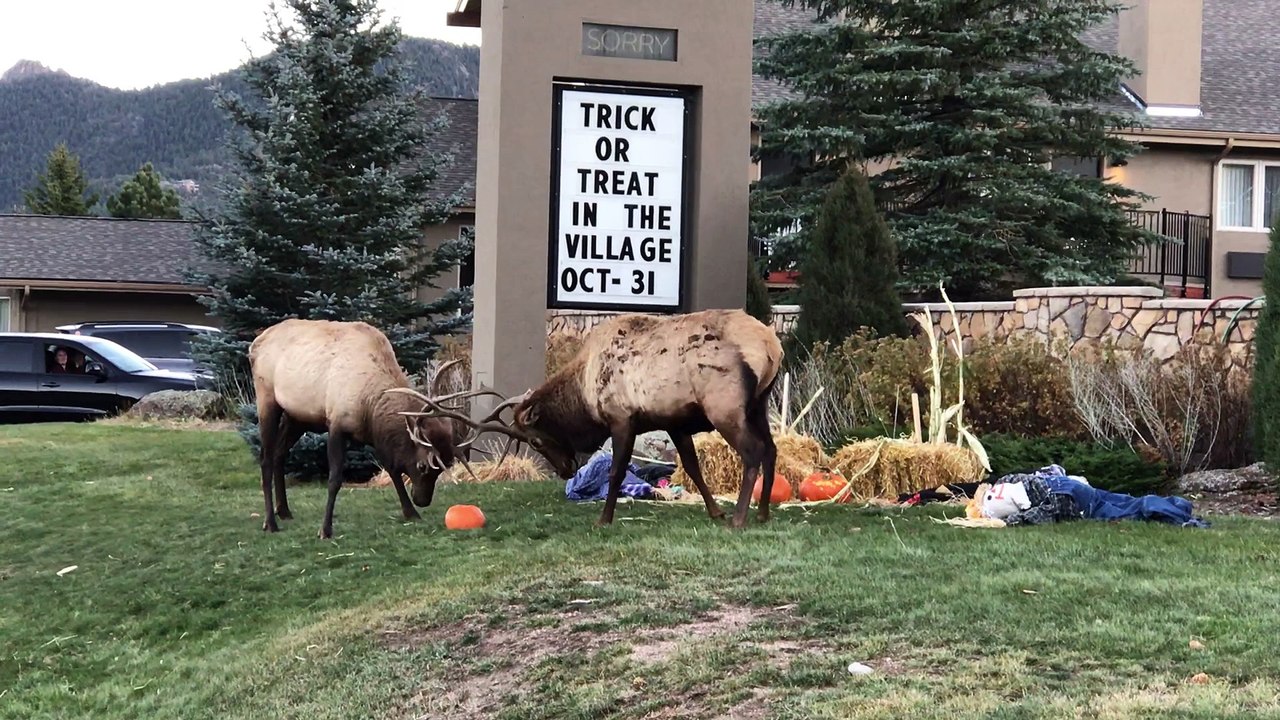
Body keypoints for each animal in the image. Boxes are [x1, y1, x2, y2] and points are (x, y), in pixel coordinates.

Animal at [248, 318, 487, 539]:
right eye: (422, 466)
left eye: (441, 468)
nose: (422, 500)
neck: (371, 403)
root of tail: (254, 345)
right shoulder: (336, 423)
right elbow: (335, 479)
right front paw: (325, 529)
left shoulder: (372, 432)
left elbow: (392, 469)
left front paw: (410, 512)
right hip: (267, 400)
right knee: (265, 458)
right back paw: (270, 522)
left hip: (297, 416)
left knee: (279, 454)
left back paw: (283, 511)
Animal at [394, 308, 786, 530]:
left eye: (535, 439)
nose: (566, 469)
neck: (584, 393)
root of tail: (771, 345)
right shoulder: (673, 421)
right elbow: (691, 466)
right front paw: (714, 512)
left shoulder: (622, 418)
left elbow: (616, 471)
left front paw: (603, 520)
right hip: (760, 403)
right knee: (771, 449)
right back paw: (763, 513)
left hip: (726, 405)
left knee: (753, 452)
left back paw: (740, 519)